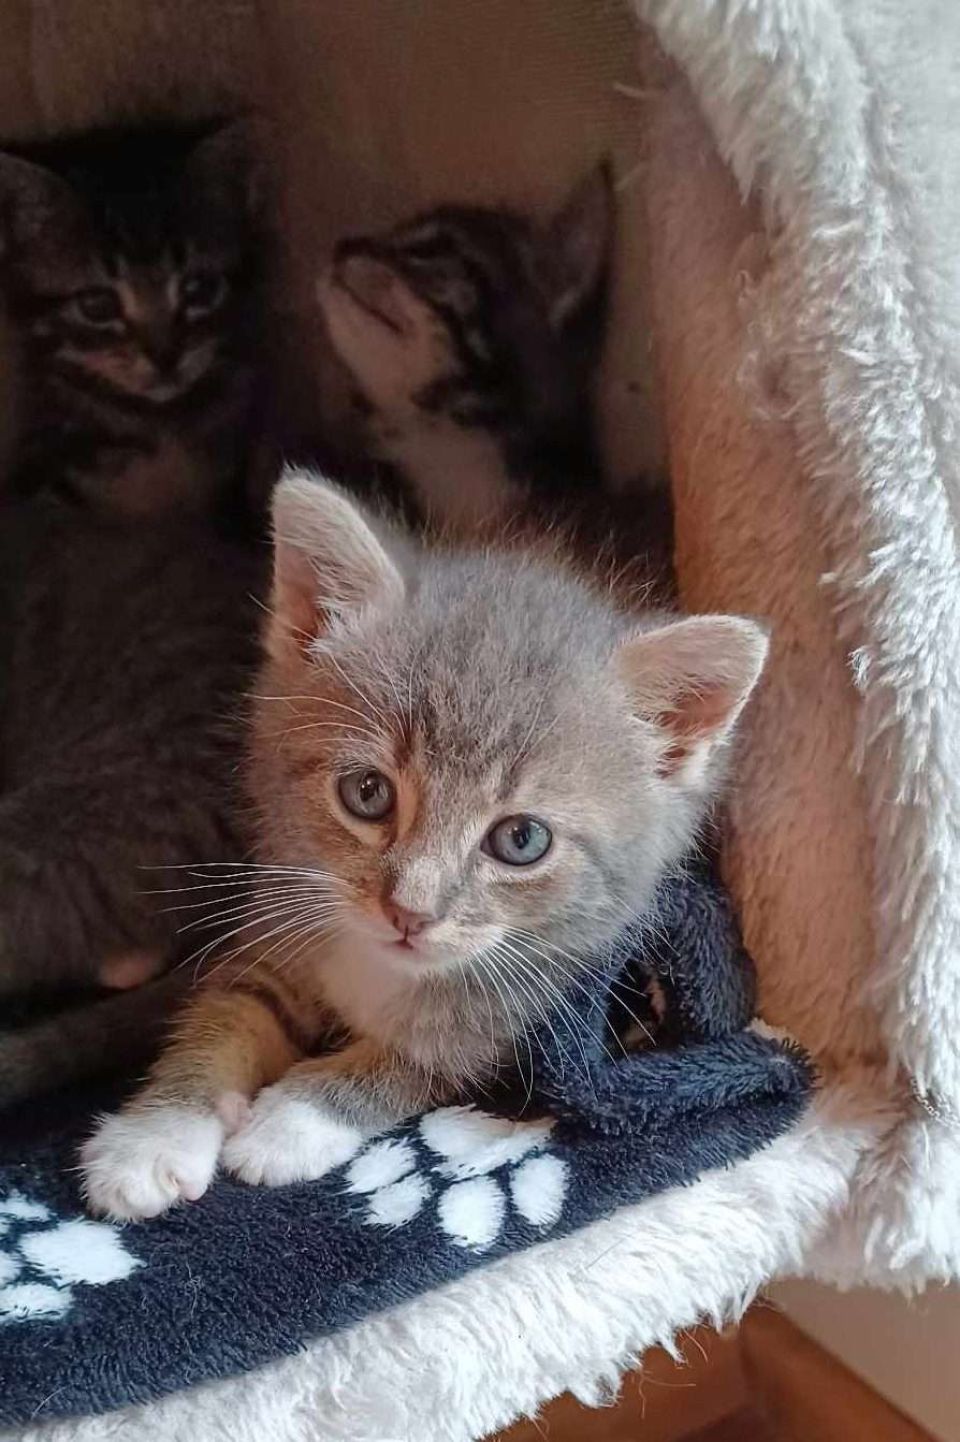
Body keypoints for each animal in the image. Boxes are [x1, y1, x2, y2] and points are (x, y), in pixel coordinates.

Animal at [80, 470, 767, 1221]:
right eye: (367, 793)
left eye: (521, 839)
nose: (409, 912)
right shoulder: (283, 923)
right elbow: (227, 1010)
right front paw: (155, 1134)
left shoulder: (523, 1012)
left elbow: (424, 1055)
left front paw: (294, 1121)